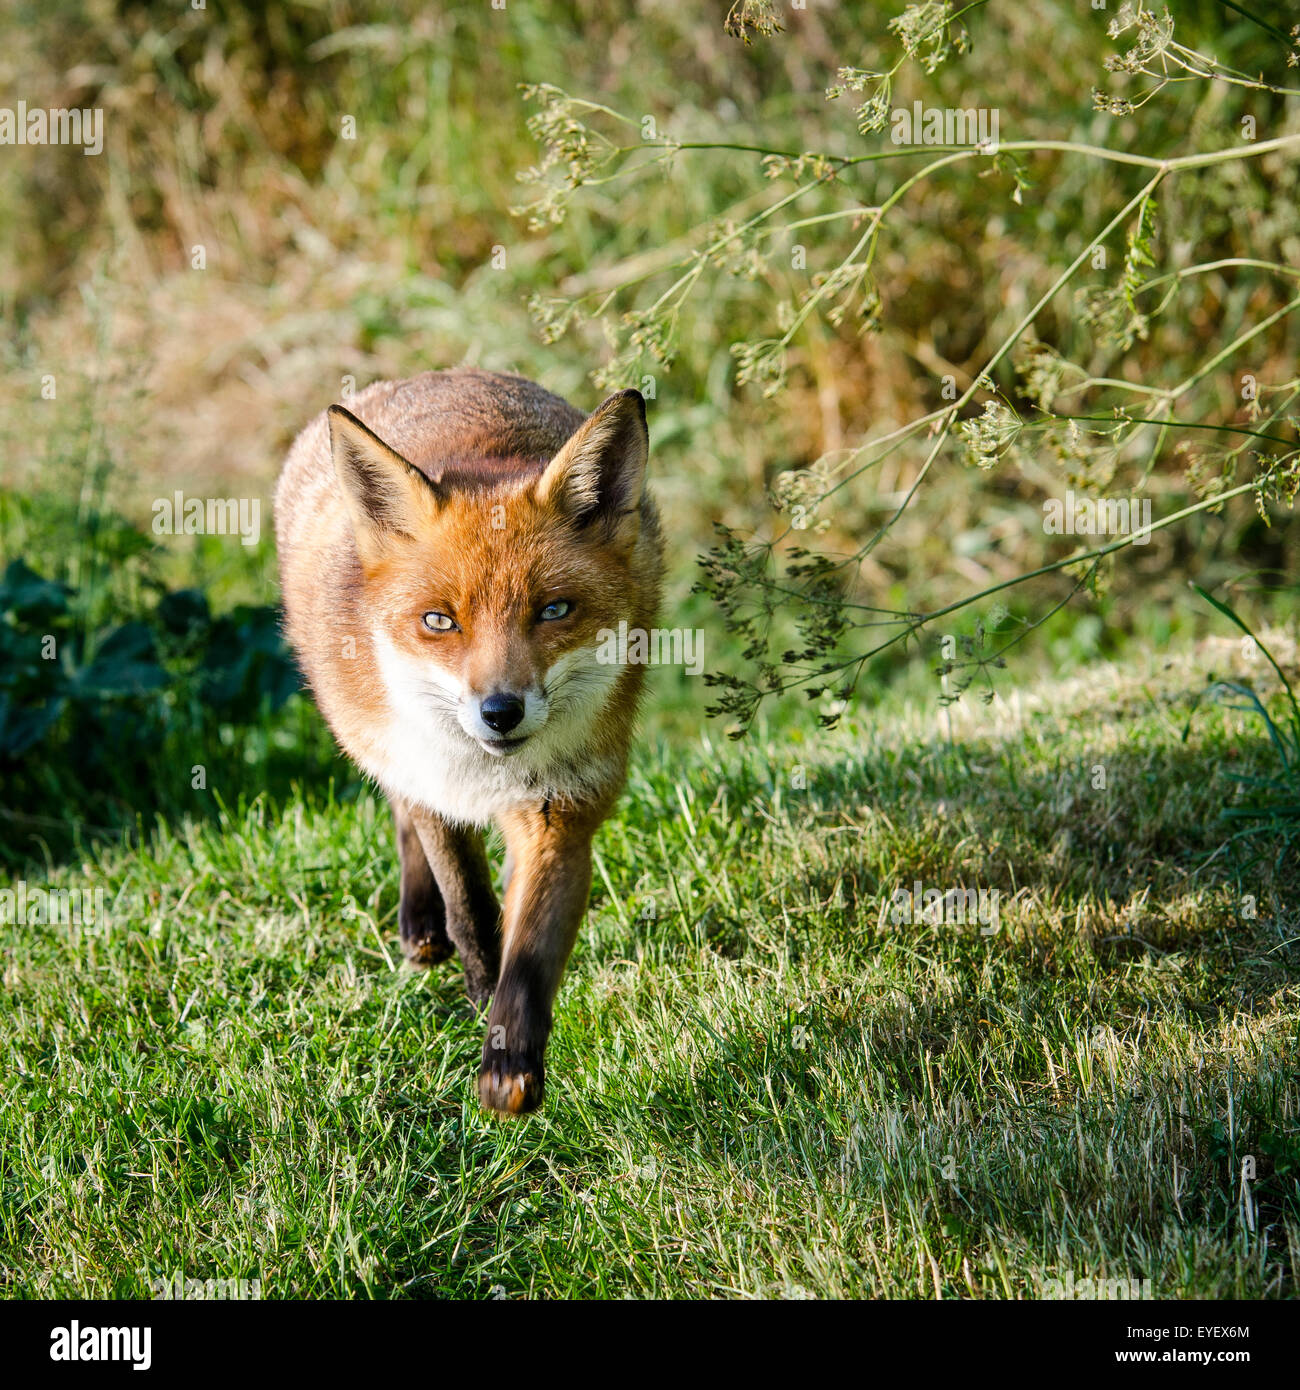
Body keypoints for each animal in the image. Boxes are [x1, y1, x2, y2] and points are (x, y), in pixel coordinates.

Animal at [273, 372, 661, 1117]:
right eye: (439, 621)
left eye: (554, 610)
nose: (500, 712)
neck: (490, 777)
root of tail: (425, 377)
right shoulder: (433, 780)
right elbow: (472, 908)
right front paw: (480, 995)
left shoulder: (560, 808)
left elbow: (531, 949)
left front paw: (510, 1061)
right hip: (382, 740)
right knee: (404, 817)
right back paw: (421, 927)